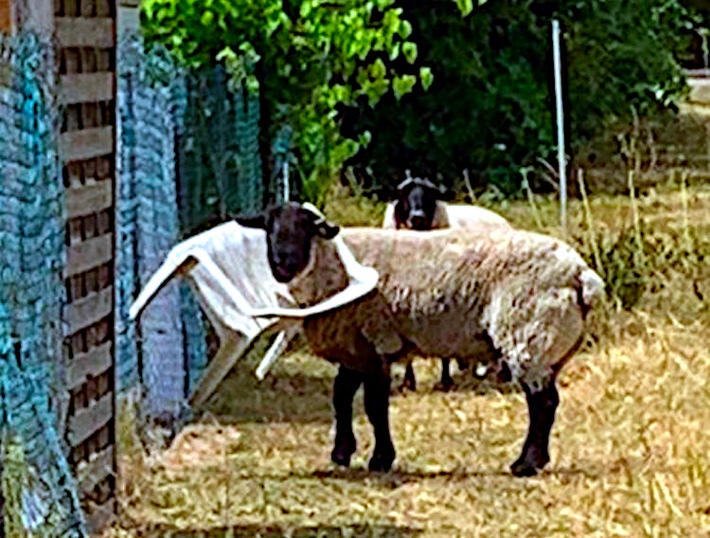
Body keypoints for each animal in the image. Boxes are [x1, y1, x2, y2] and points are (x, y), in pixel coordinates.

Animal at [238, 201, 608, 474]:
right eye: (269, 228)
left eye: (304, 228)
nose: (281, 264)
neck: (332, 266)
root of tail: (581, 274)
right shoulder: (356, 347)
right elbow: (341, 397)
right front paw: (342, 452)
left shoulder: (376, 341)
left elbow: (374, 406)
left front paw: (380, 459)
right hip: (549, 345)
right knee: (547, 401)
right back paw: (535, 460)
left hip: (528, 334)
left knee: (542, 403)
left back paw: (526, 464)